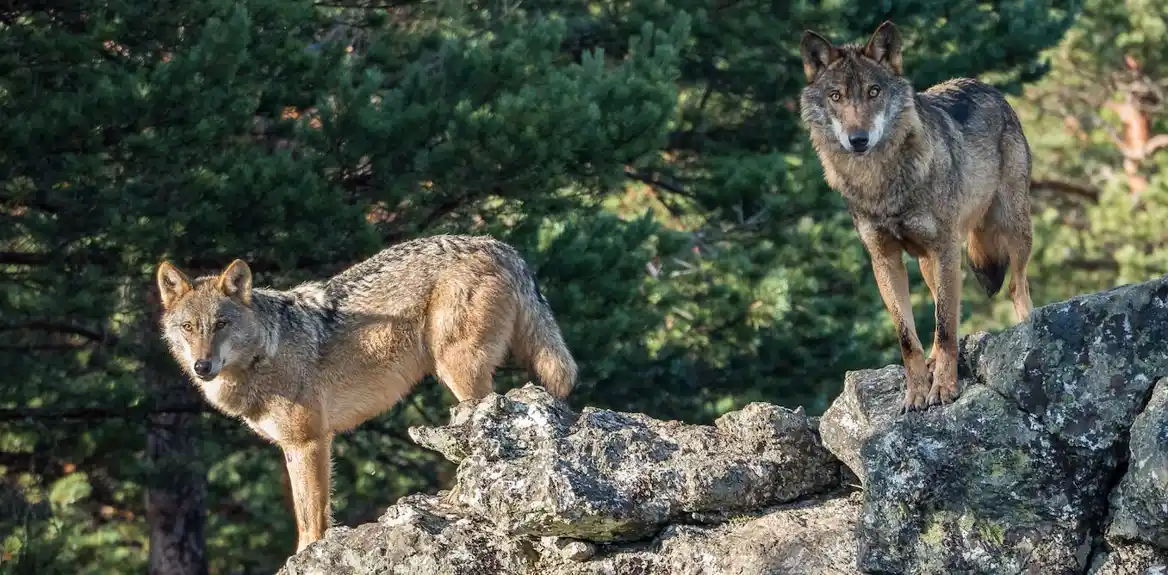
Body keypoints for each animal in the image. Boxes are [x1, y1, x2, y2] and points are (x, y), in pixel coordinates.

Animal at [155, 233, 574, 551]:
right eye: (189, 327)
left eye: (221, 324)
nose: (202, 367)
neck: (266, 352)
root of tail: (498, 245)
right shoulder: (295, 446)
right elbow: (310, 513)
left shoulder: (310, 442)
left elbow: (312, 518)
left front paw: (308, 555)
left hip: (458, 370)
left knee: (478, 435)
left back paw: (459, 499)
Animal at [798, 19, 1037, 413]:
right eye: (836, 96)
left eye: (874, 91)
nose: (858, 139)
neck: (881, 184)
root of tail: (982, 83)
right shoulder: (885, 259)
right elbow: (908, 336)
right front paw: (915, 392)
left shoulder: (946, 249)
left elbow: (945, 326)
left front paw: (943, 388)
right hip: (930, 262)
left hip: (1011, 227)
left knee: (1016, 285)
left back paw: (1029, 330)